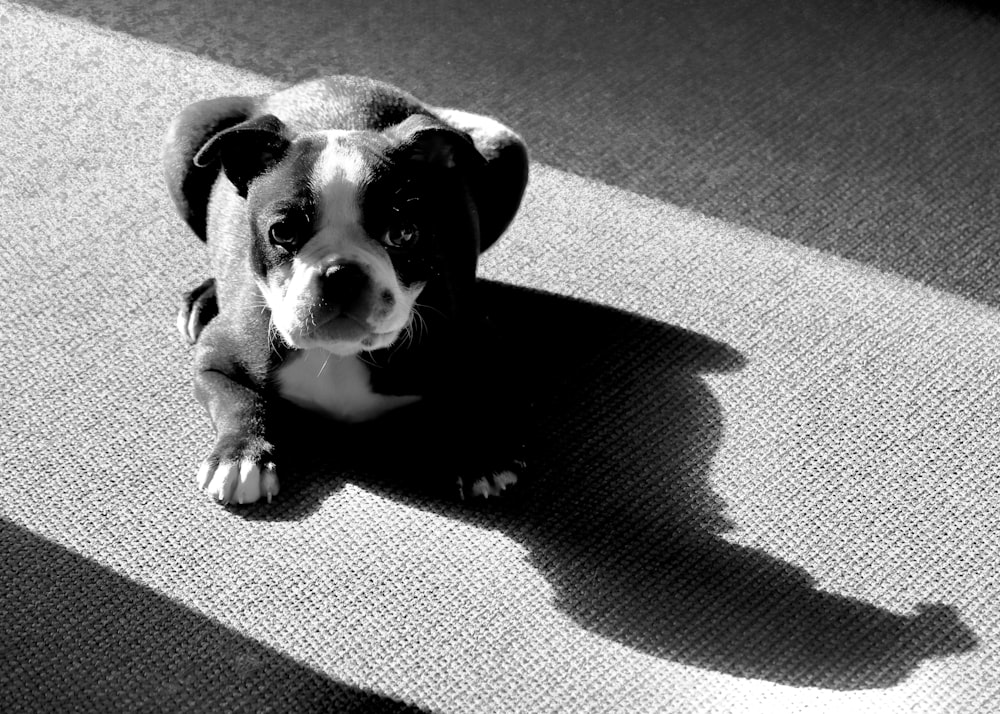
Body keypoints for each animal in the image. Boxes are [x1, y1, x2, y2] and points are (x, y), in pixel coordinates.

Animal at [162, 75, 532, 504]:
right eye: (282, 232)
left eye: (403, 234)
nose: (342, 273)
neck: (339, 354)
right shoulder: (216, 361)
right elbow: (238, 401)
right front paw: (240, 456)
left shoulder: (487, 345)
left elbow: (479, 397)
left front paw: (481, 456)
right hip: (186, 132)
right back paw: (204, 298)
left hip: (504, 148)